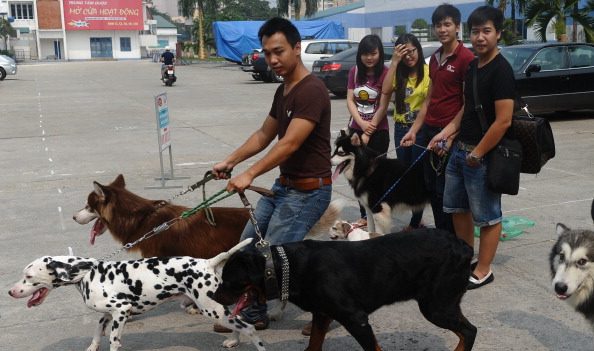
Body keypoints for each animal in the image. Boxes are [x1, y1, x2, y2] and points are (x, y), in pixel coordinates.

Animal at [8, 239, 264, 351]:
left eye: (28, 276)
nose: (10, 292)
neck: (87, 273)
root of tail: (208, 263)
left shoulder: (121, 312)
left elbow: (113, 341)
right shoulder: (107, 314)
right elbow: (97, 331)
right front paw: (92, 346)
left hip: (213, 310)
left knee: (250, 328)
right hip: (219, 310)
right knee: (238, 323)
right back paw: (233, 340)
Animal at [213, 230, 476, 350]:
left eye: (228, 280)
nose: (214, 295)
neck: (287, 267)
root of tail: (464, 246)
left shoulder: (356, 318)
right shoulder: (322, 314)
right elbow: (313, 345)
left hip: (436, 306)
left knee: (469, 331)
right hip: (444, 303)